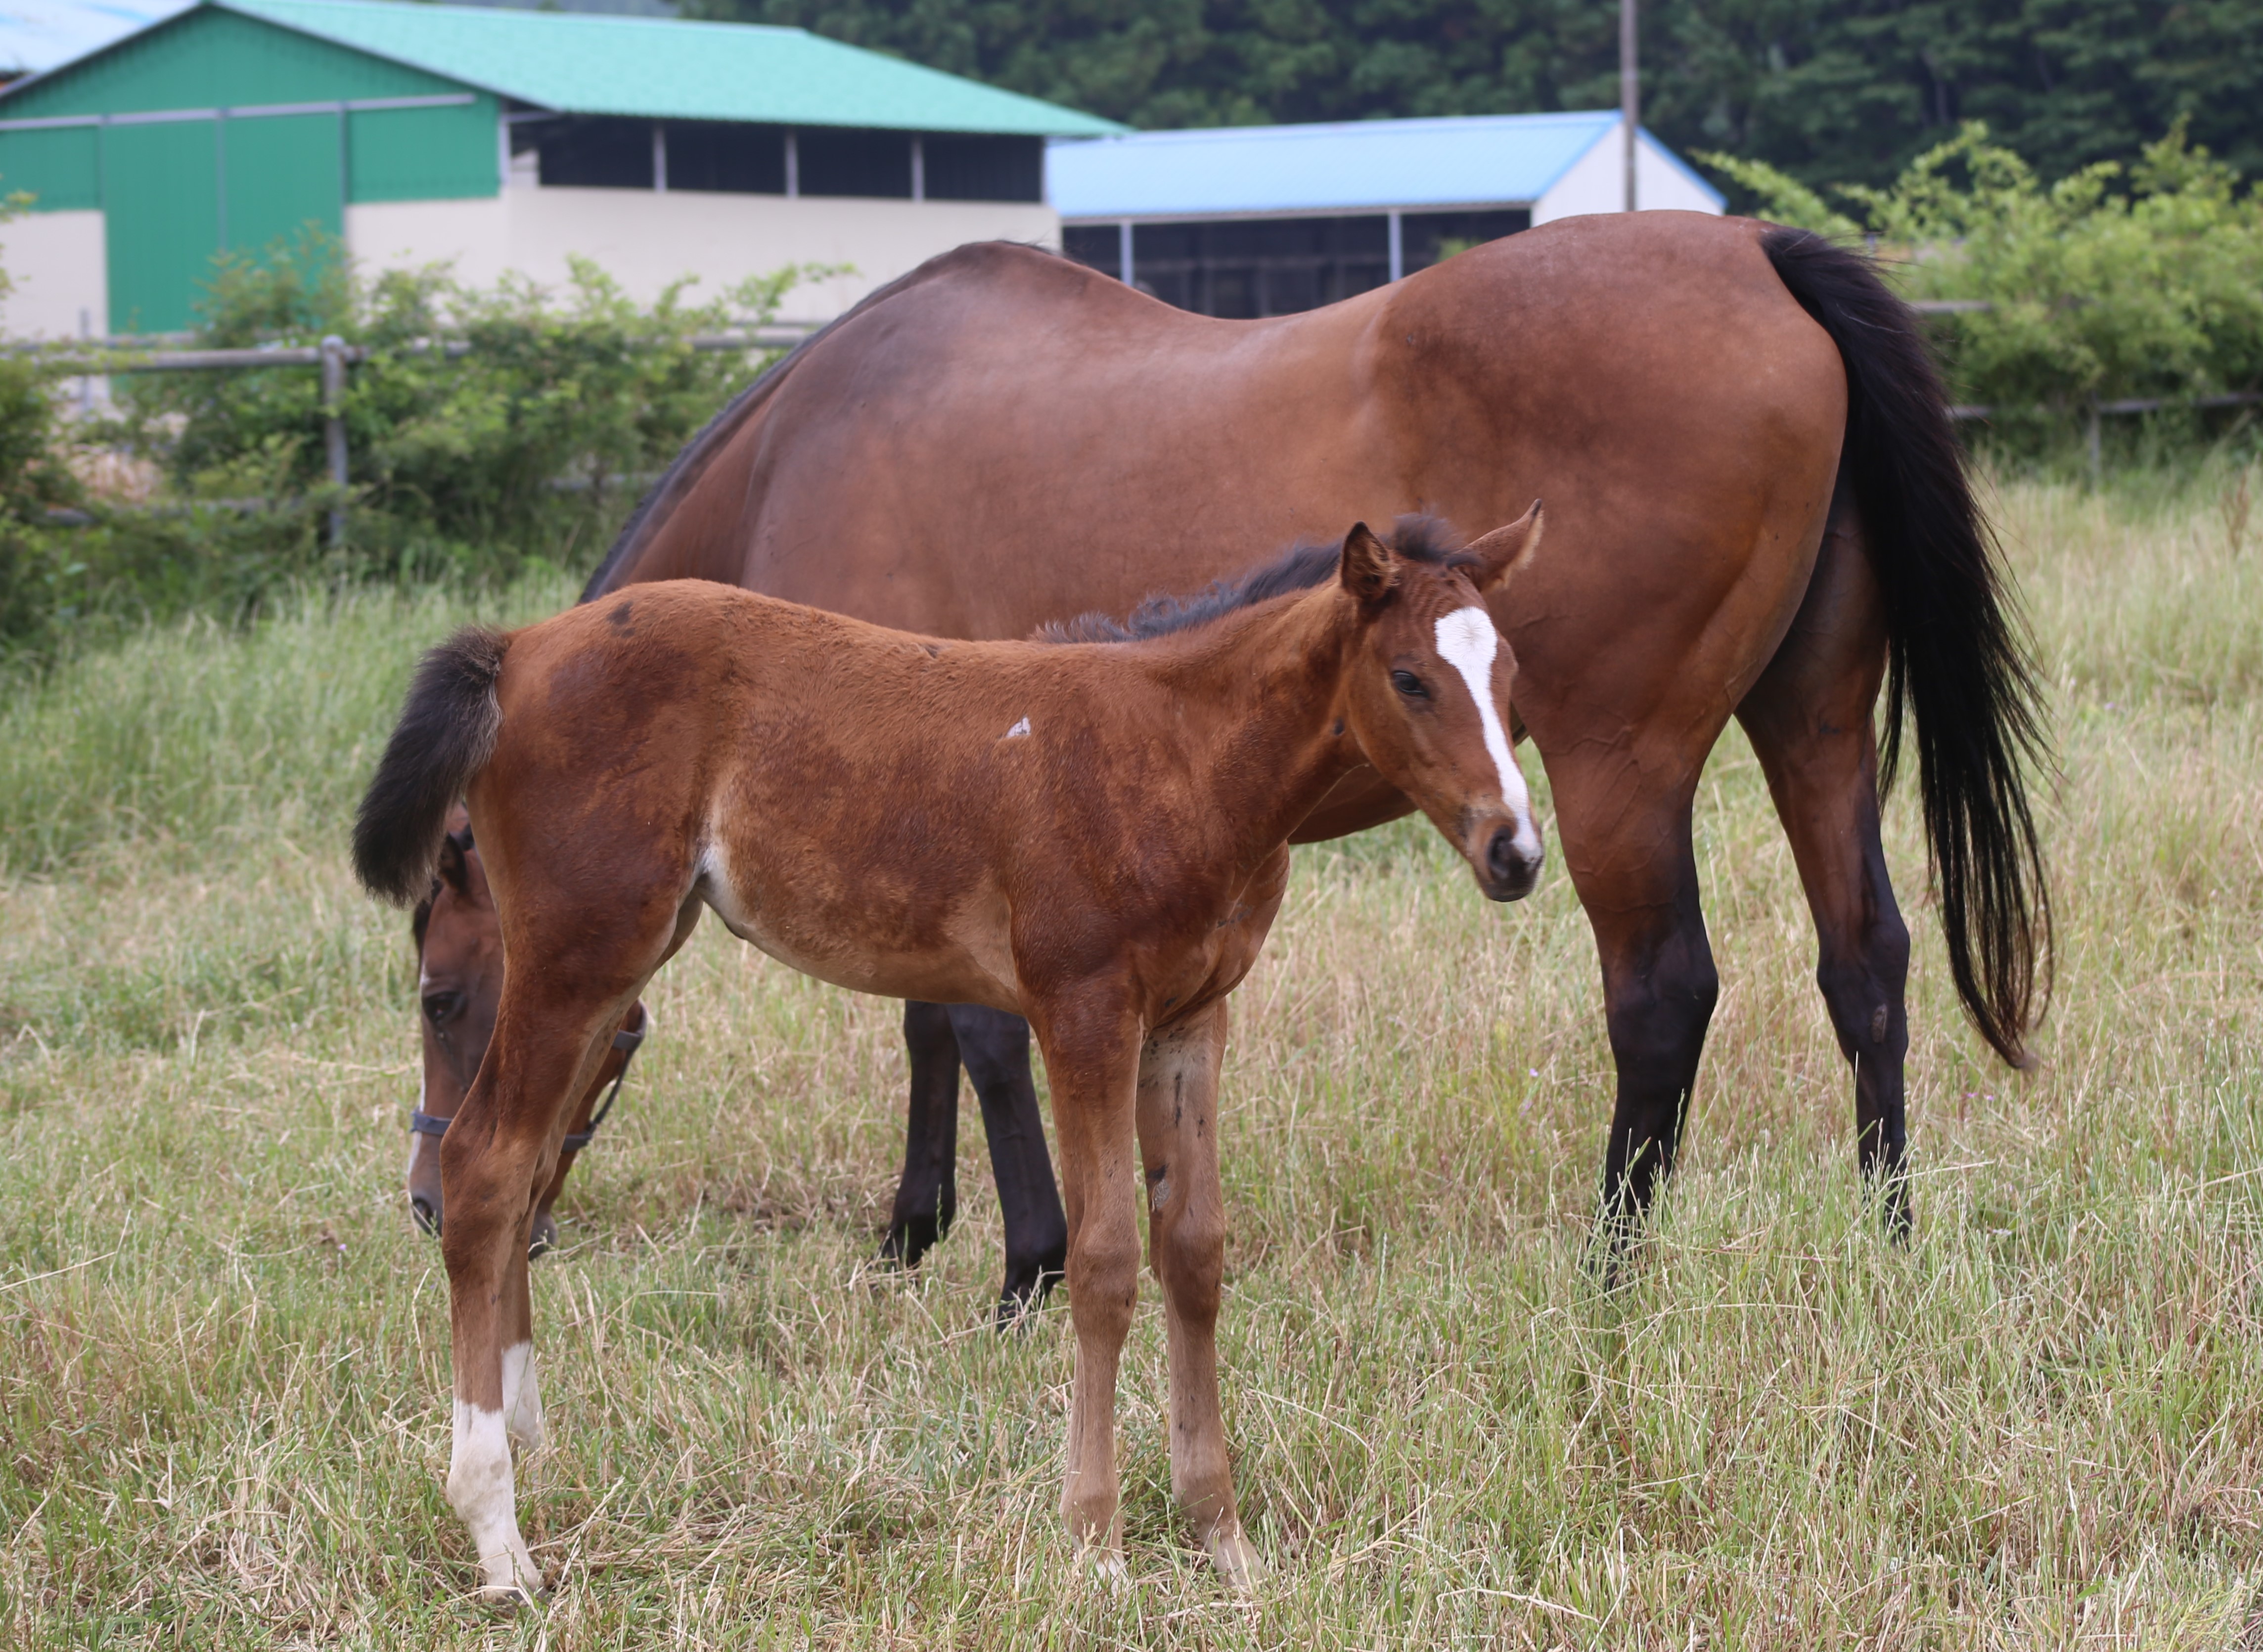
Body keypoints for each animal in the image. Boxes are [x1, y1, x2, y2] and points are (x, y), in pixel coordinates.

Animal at [358, 511, 1557, 1593]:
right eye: (1409, 679)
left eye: (1509, 679)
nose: (1515, 851)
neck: (1178, 753)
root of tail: (518, 647)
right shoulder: (1084, 1009)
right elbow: (1106, 1259)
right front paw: (1097, 1546)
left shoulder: (1192, 1017)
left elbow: (1195, 1251)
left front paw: (1223, 1538)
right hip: (575, 959)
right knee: (486, 1168)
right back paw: (499, 1537)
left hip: (611, 969)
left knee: (523, 1173)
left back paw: (530, 1447)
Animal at [575, 218, 2045, 1258]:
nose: (498, 1212)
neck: (797, 458)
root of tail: (1758, 254)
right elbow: (932, 1020)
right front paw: (918, 1227)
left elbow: (960, 1026)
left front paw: (1006, 1253)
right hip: (1813, 722)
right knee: (1865, 961)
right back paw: (1885, 1238)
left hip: (1615, 767)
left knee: (1663, 994)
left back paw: (1609, 1266)